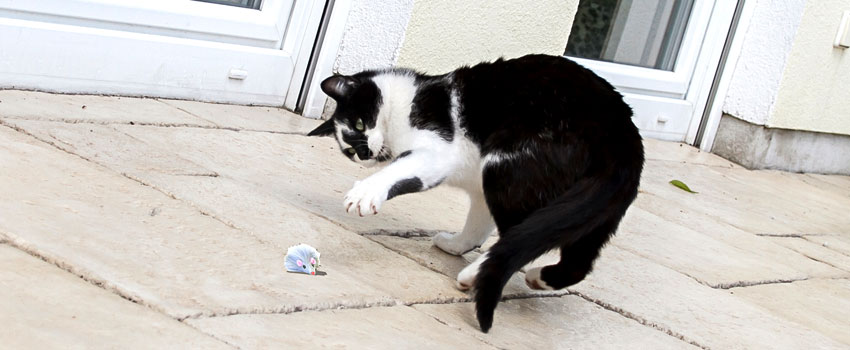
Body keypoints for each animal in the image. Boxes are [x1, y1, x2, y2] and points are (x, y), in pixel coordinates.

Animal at [308, 53, 640, 332]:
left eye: (360, 123)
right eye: (350, 150)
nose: (363, 154)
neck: (408, 99)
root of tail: (621, 136)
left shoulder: (439, 151)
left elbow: (400, 171)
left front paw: (366, 192)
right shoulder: (476, 186)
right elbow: (477, 225)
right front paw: (457, 245)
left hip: (506, 164)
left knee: (518, 237)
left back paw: (475, 276)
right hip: (592, 210)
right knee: (574, 258)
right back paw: (538, 278)